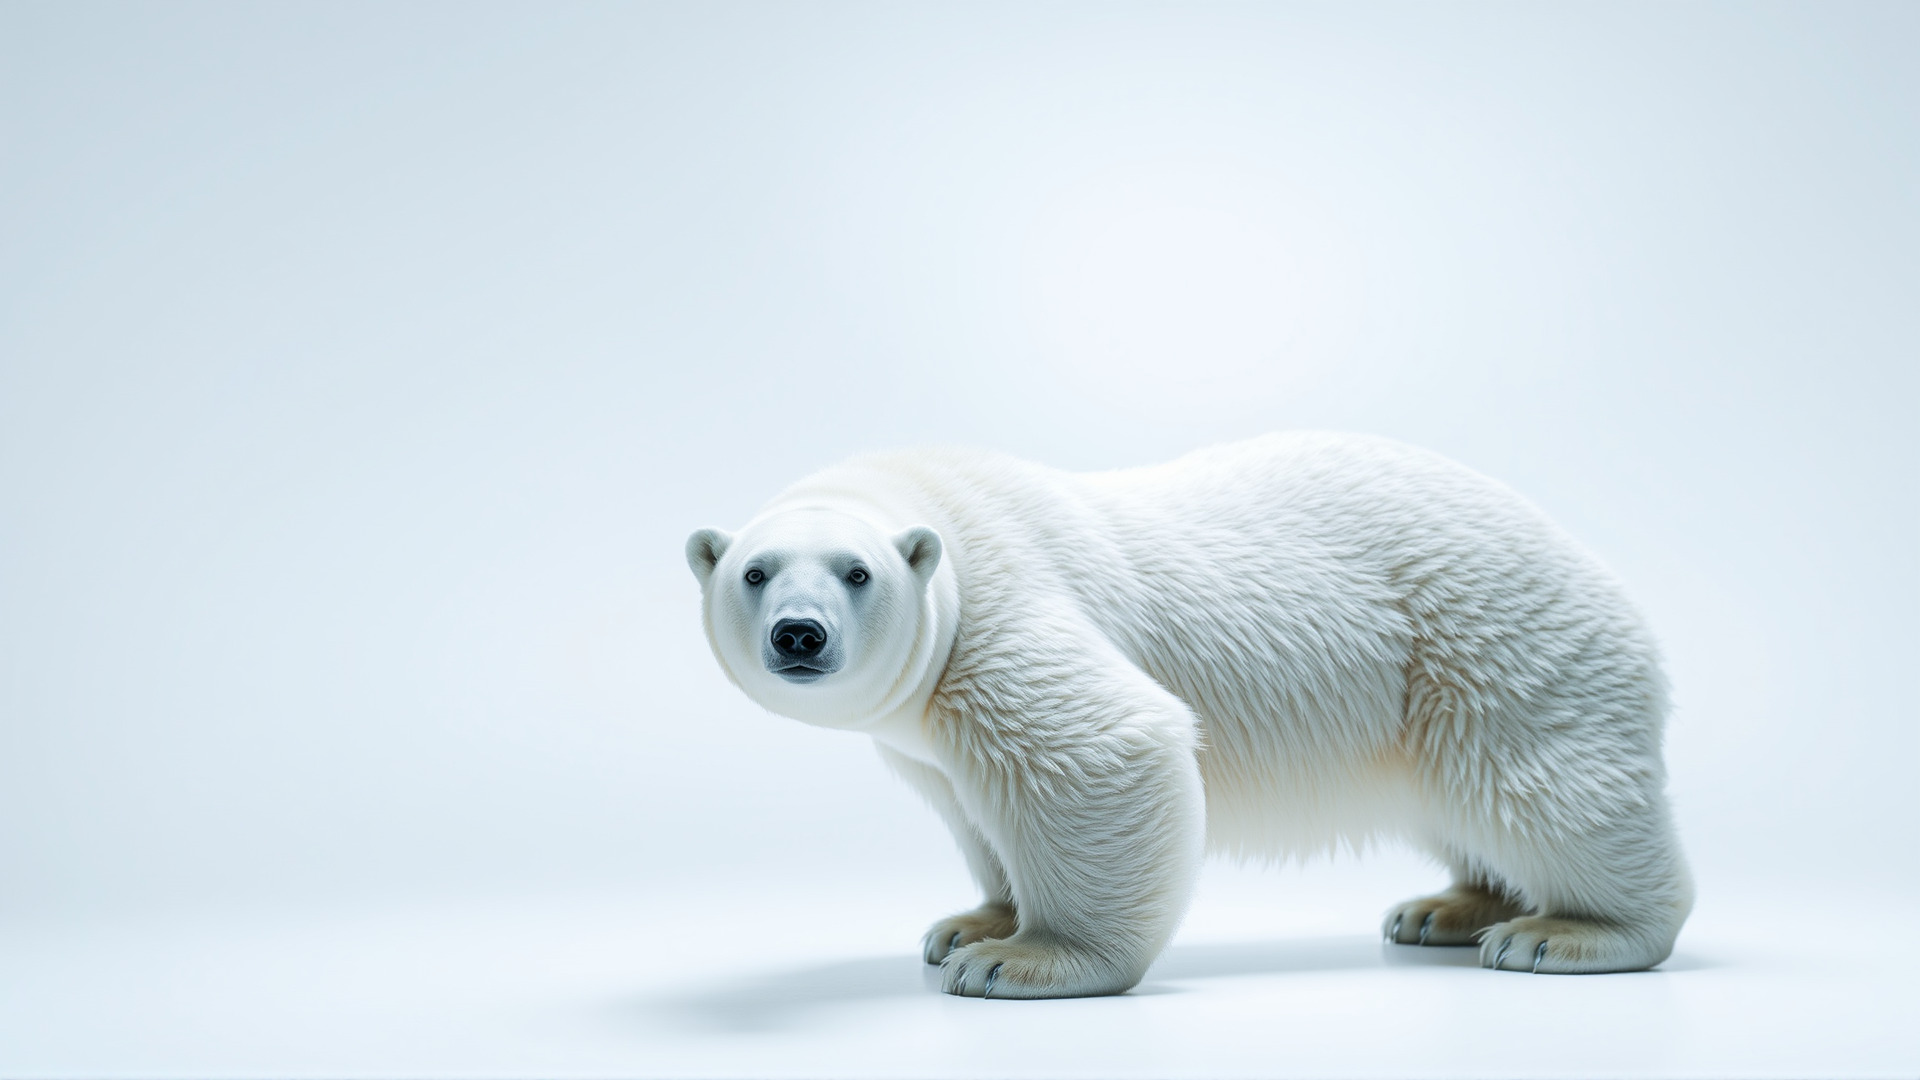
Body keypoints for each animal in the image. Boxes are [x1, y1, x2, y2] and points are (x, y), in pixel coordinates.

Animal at [685, 432, 1692, 998]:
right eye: (755, 571)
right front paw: (970, 924)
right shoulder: (923, 728)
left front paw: (1023, 959)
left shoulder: (1002, 607)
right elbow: (973, 806)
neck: (935, 507)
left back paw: (1565, 931)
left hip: (1487, 641)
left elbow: (1097, 750)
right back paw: (1448, 907)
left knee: (1539, 784)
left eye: (856, 572)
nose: (801, 634)